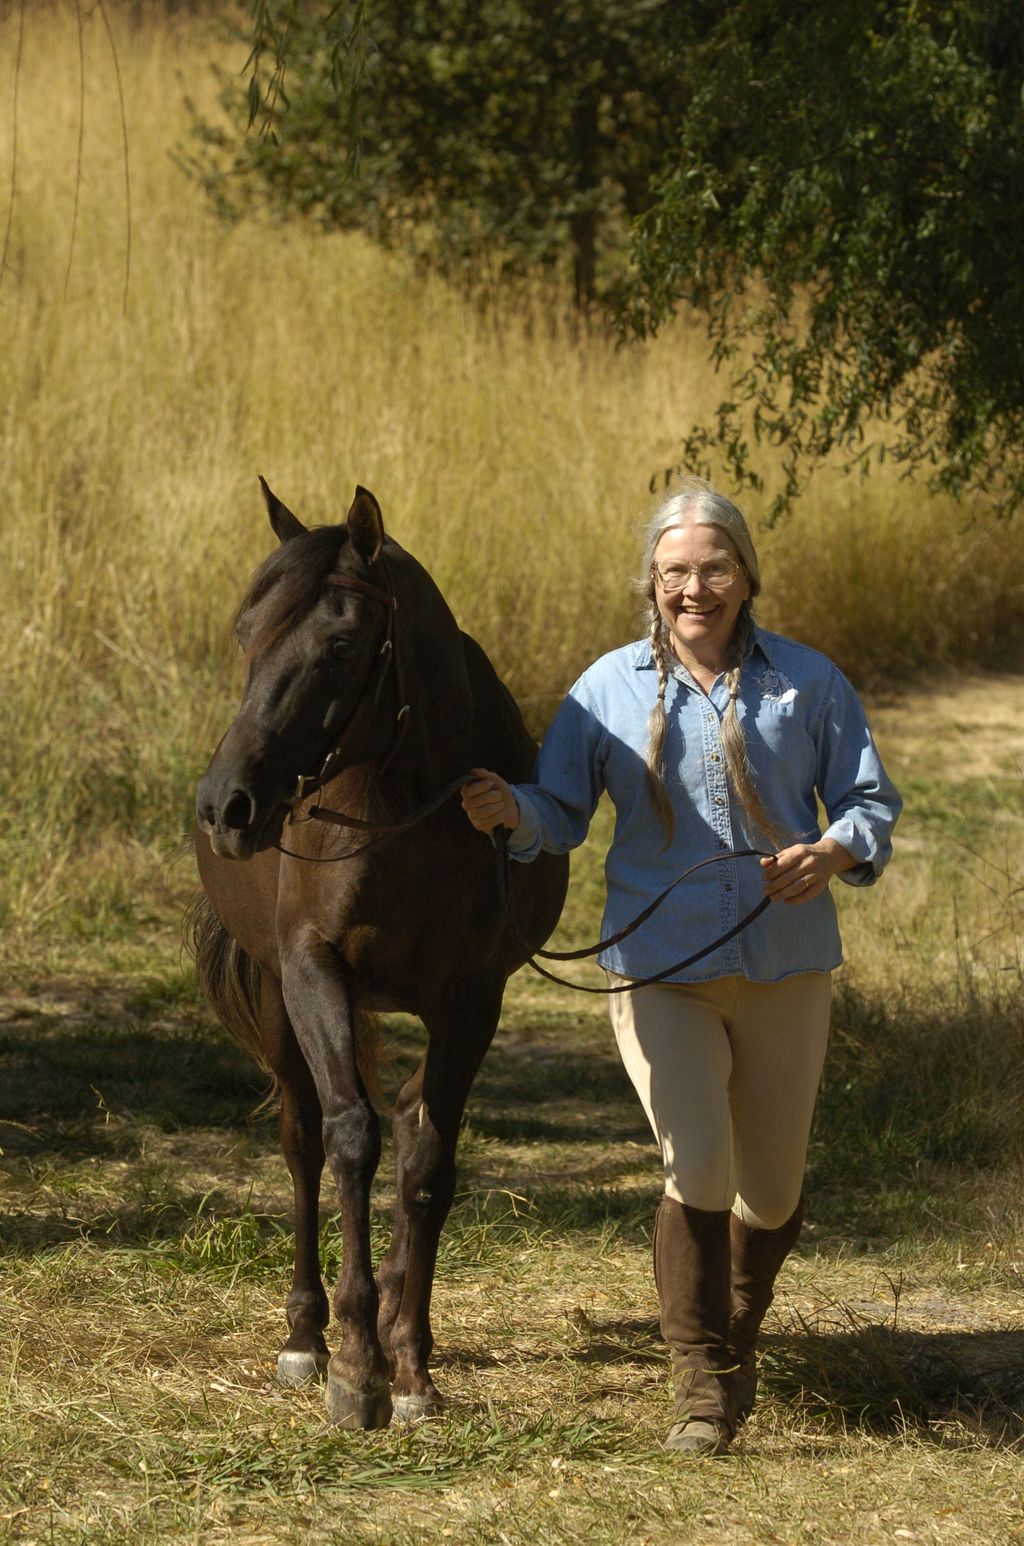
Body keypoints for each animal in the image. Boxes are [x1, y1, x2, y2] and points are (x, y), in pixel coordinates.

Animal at [192, 479, 569, 1422]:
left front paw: (411, 1369)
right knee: (303, 1139)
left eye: (339, 644)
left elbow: (427, 1158)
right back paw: (305, 1336)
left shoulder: (472, 998)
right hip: (279, 1002)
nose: (226, 805)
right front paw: (356, 1365)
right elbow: (349, 1140)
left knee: (402, 1119)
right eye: (246, 632)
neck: (407, 809)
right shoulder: (312, 971)